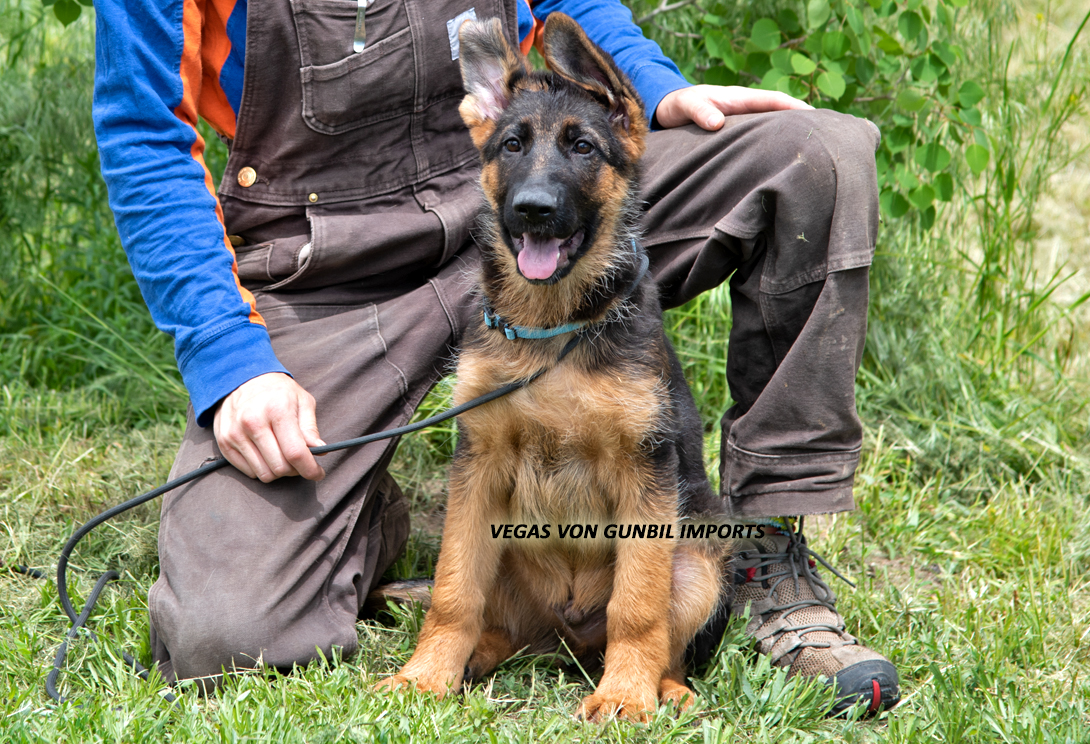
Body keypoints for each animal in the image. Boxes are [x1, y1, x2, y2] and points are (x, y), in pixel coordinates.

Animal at [374, 14, 733, 722]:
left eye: (584, 148)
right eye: (512, 145)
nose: (532, 209)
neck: (551, 327)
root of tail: (565, 637)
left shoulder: (645, 474)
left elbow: (637, 605)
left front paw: (625, 694)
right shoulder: (477, 466)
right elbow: (452, 592)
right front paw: (424, 677)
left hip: (698, 560)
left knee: (664, 629)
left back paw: (664, 686)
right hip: (506, 552)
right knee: (497, 622)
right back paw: (475, 659)